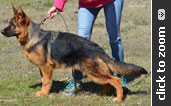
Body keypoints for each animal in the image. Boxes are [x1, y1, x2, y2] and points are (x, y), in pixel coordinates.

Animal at [0, 7, 148, 102]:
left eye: (12, 24)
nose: (1, 31)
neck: (33, 36)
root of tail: (97, 48)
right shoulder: (41, 68)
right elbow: (43, 80)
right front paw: (42, 92)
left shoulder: (46, 67)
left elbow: (46, 81)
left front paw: (43, 94)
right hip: (95, 73)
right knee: (108, 82)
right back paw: (102, 94)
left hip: (94, 73)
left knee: (115, 80)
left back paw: (118, 98)